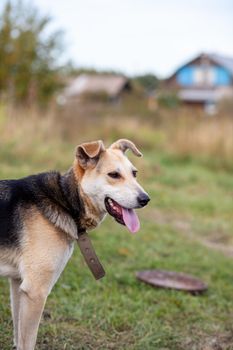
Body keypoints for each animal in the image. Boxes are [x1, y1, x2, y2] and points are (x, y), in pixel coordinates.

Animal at [0, 139, 149, 350]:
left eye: (134, 173)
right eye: (114, 175)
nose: (146, 199)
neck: (67, 201)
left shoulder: (18, 283)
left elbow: (18, 334)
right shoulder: (35, 291)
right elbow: (27, 341)